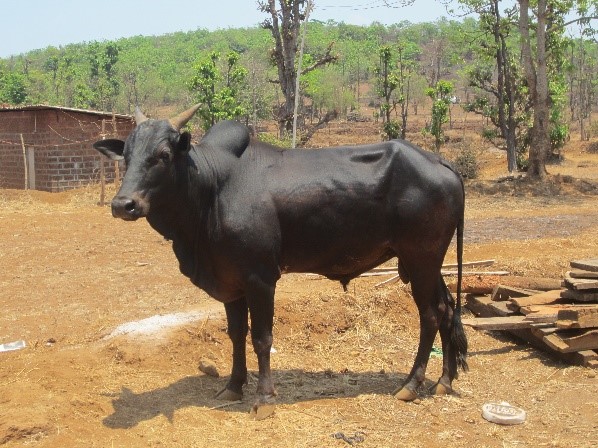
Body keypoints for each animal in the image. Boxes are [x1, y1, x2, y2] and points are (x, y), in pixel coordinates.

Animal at [94, 104, 468, 412]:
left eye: (163, 154)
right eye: (126, 154)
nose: (123, 204)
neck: (211, 191)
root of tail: (440, 161)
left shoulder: (260, 279)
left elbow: (262, 338)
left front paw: (264, 397)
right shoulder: (231, 282)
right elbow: (236, 334)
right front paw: (233, 386)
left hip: (421, 259)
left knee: (430, 315)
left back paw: (411, 385)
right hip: (425, 264)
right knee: (448, 308)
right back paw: (444, 381)